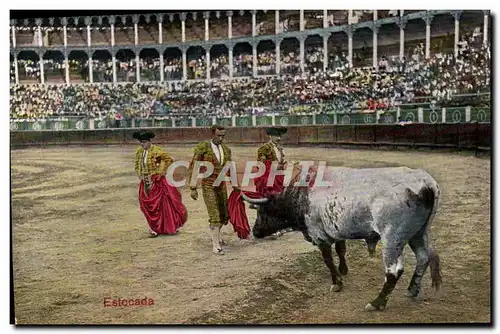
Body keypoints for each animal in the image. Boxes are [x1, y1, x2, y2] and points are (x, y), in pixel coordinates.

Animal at [242, 166, 442, 310]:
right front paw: (343, 270)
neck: (302, 195)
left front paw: (337, 283)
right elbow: (341, 250)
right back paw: (412, 290)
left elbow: (328, 260)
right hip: (419, 233)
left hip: (392, 239)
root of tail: (426, 183)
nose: (255, 232)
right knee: (423, 257)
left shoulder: (320, 236)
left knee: (394, 271)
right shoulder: (336, 232)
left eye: (261, 212)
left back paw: (377, 302)